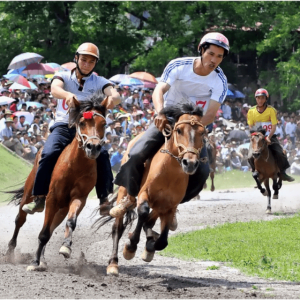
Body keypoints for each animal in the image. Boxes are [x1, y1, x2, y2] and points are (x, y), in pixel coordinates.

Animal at [5, 91, 108, 270]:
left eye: (104, 124)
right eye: (82, 122)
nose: (93, 147)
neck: (75, 165)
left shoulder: (79, 198)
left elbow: (70, 222)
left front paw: (66, 246)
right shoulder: (52, 197)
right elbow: (43, 233)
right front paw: (34, 262)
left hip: (62, 207)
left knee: (52, 227)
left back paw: (43, 258)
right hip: (29, 193)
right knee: (20, 219)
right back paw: (11, 252)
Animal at [98, 103, 206, 276]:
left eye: (202, 133)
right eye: (179, 130)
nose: (190, 163)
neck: (169, 172)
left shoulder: (170, 206)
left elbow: (162, 241)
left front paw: (150, 246)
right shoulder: (144, 194)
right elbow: (142, 213)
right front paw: (130, 247)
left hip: (160, 205)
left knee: (150, 222)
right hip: (124, 190)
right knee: (118, 227)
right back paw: (113, 263)